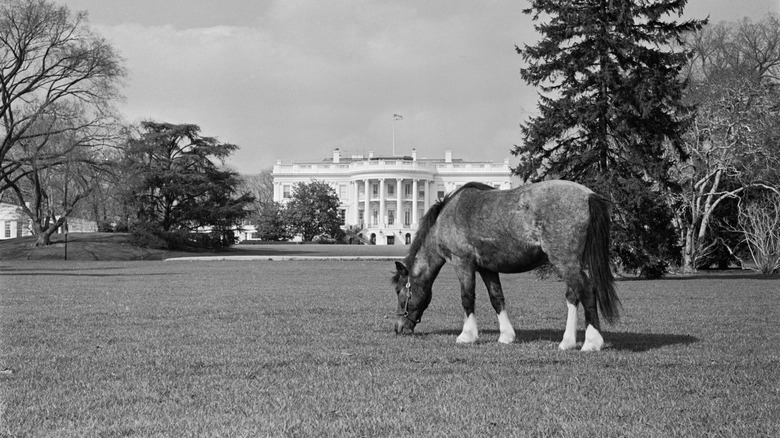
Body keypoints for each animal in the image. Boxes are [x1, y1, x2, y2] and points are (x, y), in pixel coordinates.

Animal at [394, 180, 620, 350]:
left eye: (399, 291)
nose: (399, 328)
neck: (448, 215)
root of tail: (588, 195)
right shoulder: (487, 268)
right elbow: (497, 298)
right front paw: (506, 336)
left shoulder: (463, 262)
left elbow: (467, 298)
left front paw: (467, 335)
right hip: (572, 263)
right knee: (573, 296)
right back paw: (567, 342)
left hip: (565, 262)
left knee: (587, 291)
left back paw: (591, 342)